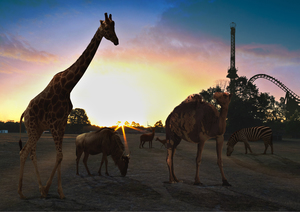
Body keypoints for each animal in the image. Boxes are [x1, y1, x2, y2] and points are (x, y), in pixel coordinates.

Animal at [18, 12, 119, 199]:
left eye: (115, 27)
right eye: (107, 28)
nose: (116, 41)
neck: (68, 86)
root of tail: (24, 113)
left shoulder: (62, 122)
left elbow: (60, 156)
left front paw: (57, 191)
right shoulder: (54, 122)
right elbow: (59, 155)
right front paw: (50, 189)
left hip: (37, 129)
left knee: (28, 152)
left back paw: (31, 189)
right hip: (33, 127)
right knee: (26, 152)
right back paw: (26, 191)